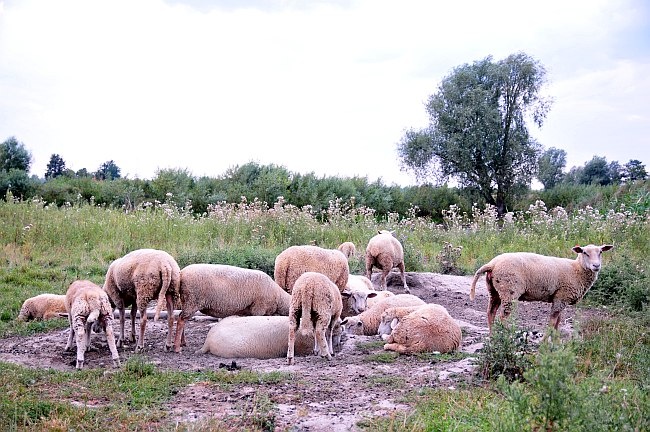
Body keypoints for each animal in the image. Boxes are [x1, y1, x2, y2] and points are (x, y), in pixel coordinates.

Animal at [466, 245, 612, 332]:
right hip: (509, 290)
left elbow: (558, 322)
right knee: (503, 317)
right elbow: (552, 322)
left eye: (600, 252)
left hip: (495, 290)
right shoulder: (562, 297)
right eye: (585, 252)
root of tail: (492, 264)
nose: (596, 266)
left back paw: (493, 336)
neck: (576, 269)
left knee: (490, 313)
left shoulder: (560, 298)